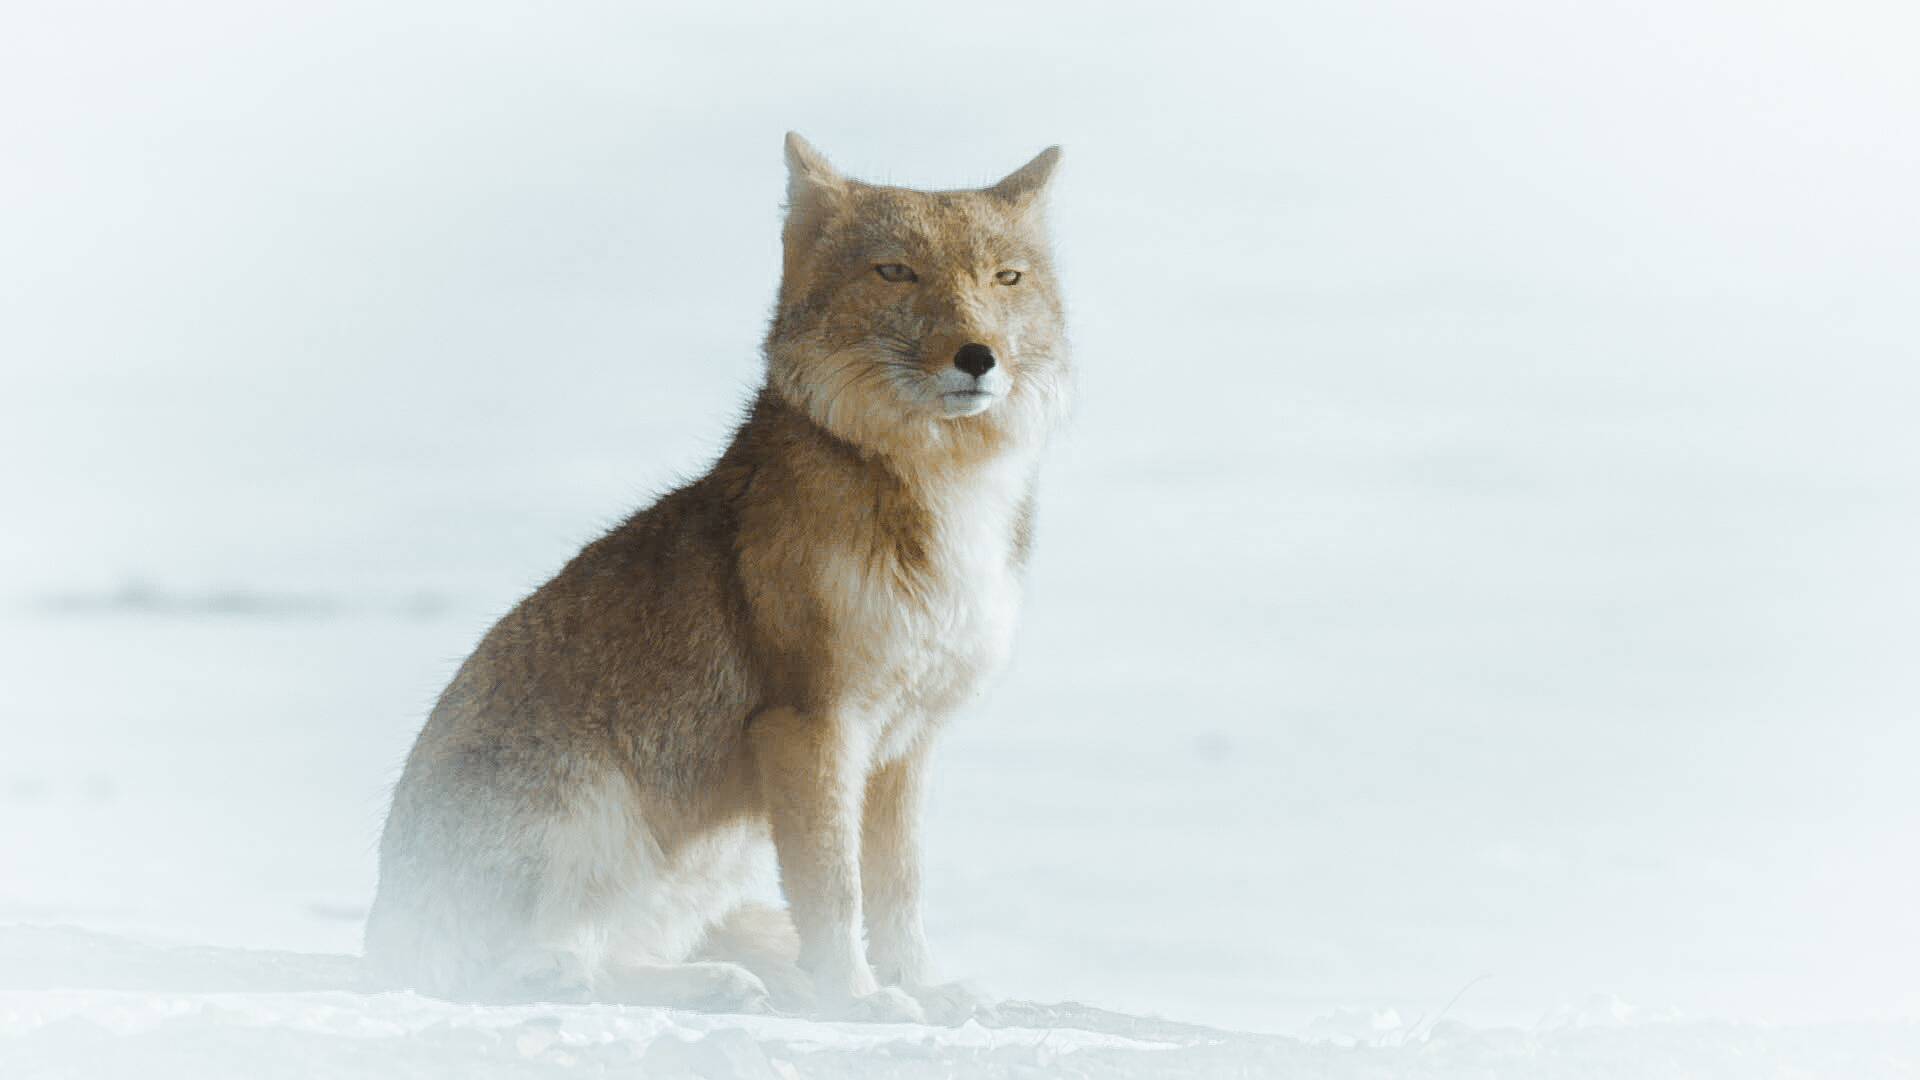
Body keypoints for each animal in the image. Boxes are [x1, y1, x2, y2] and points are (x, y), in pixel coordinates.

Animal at [360, 130, 1067, 1022]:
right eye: (896, 272)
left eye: (1005, 278)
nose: (979, 357)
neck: (947, 504)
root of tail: (376, 939)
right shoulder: (814, 724)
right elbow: (836, 894)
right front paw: (857, 999)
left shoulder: (907, 744)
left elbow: (899, 891)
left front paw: (919, 989)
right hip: (604, 807)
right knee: (532, 970)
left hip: (705, 861)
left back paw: (728, 982)